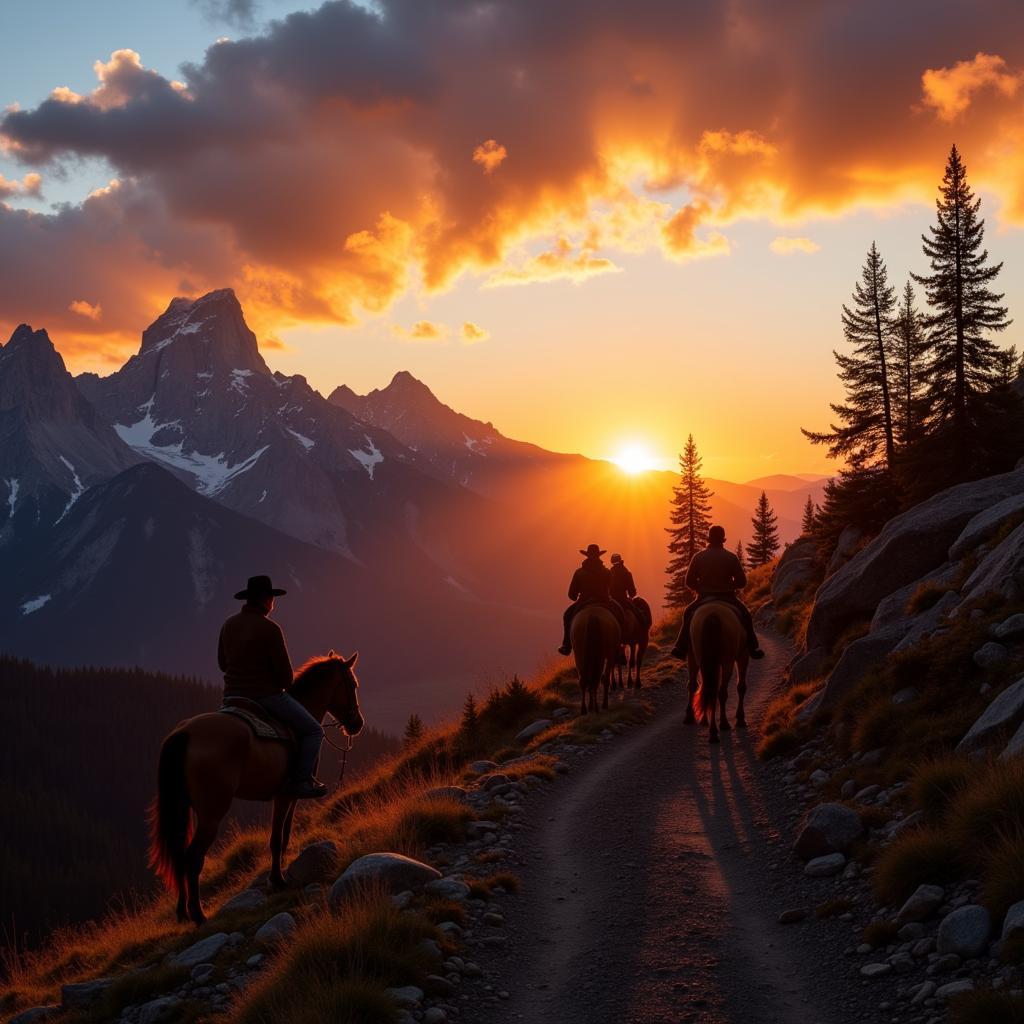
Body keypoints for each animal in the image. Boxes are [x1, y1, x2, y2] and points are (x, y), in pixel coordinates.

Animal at [147, 651, 364, 925]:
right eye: (353, 685)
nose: (357, 723)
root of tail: (185, 733)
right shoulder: (284, 796)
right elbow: (277, 839)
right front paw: (278, 881)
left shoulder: (292, 797)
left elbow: (286, 835)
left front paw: (280, 875)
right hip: (211, 814)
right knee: (193, 857)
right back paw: (198, 914)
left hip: (182, 806)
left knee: (178, 855)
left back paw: (182, 912)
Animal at [684, 602, 749, 741]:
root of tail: (712, 615)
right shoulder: (743, 655)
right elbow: (741, 687)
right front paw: (740, 718)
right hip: (727, 662)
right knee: (720, 692)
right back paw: (720, 726)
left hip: (694, 656)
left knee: (698, 686)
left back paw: (695, 719)